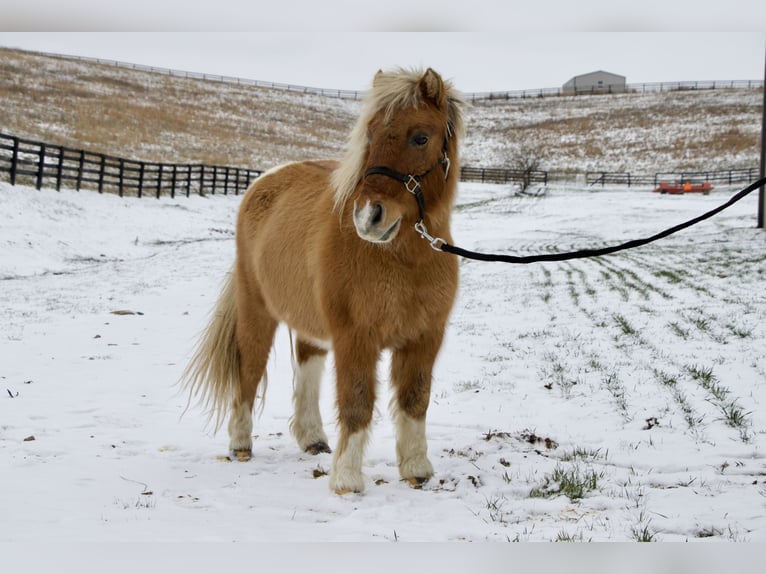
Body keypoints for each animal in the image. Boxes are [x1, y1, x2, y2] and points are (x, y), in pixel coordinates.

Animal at [181, 67, 466, 494]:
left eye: (420, 137)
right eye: (370, 134)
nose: (369, 217)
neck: (402, 260)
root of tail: (263, 182)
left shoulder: (425, 337)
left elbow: (415, 400)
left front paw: (416, 469)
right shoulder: (355, 338)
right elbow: (357, 403)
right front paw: (346, 479)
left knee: (308, 365)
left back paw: (312, 438)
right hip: (257, 311)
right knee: (249, 369)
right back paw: (240, 444)